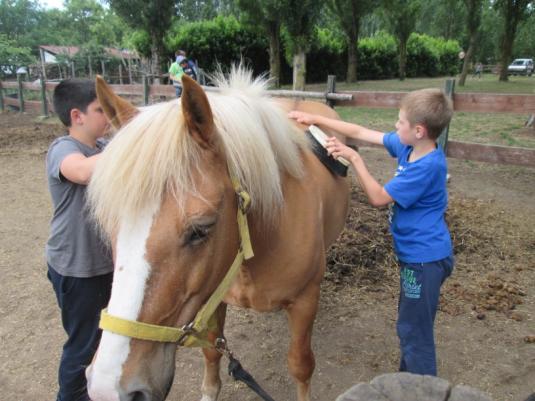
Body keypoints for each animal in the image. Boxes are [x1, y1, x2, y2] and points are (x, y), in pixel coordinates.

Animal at [86, 69, 350, 400]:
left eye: (201, 229)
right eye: (110, 226)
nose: (107, 388)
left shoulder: (304, 301)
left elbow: (301, 365)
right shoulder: (213, 295)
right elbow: (212, 352)